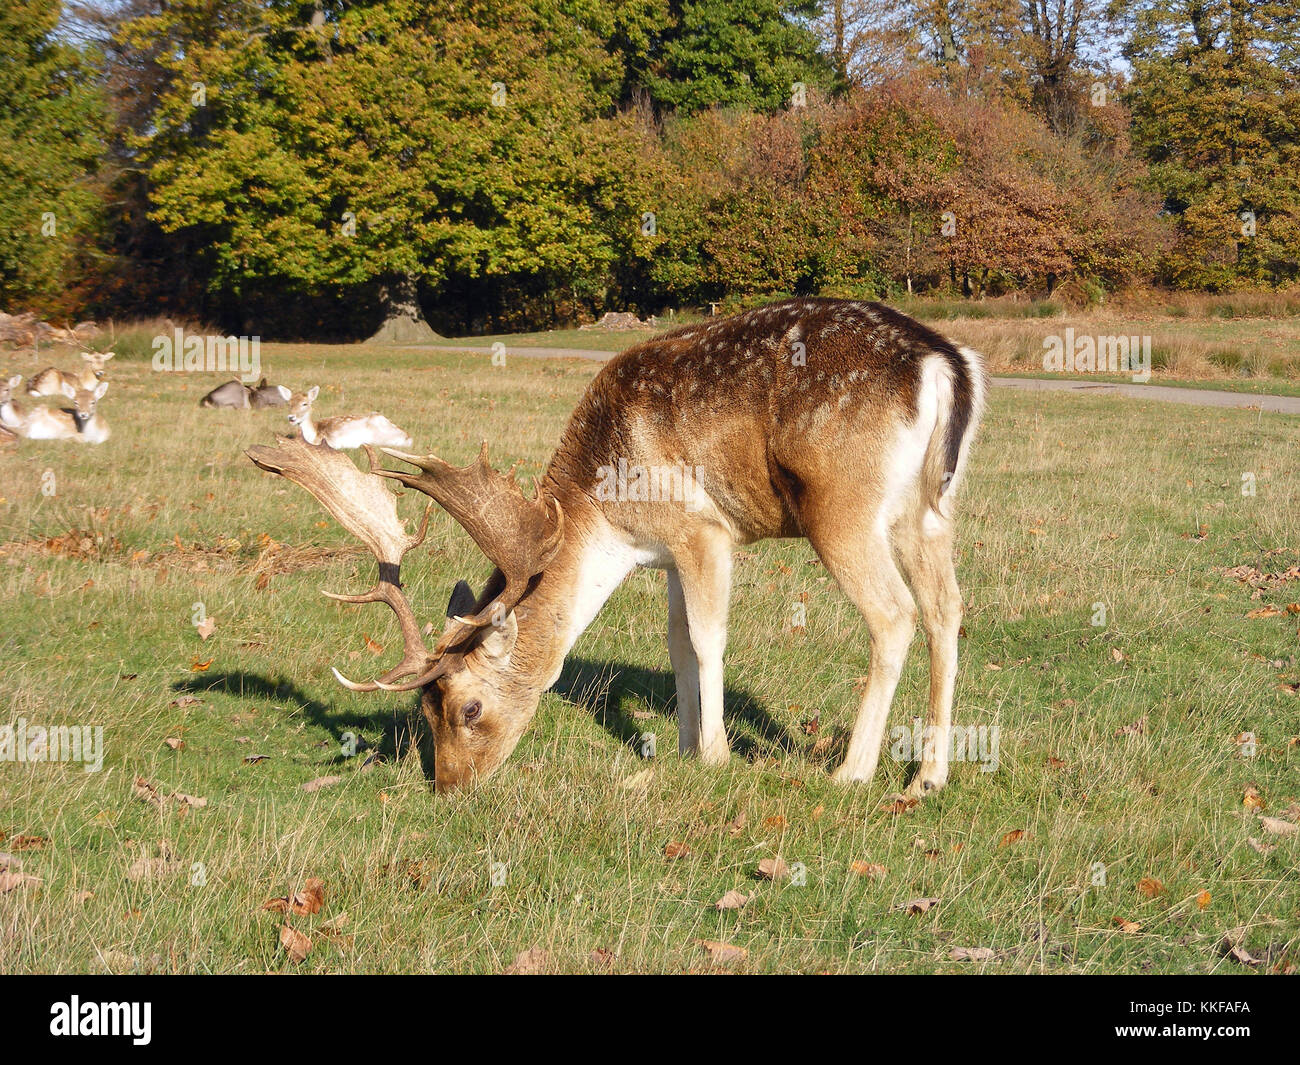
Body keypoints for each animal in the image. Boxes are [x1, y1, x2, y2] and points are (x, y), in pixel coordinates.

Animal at [248, 295, 982, 795]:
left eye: (468, 706)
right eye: (422, 710)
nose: (449, 787)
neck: (605, 516)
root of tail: (946, 364)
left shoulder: (702, 528)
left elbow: (708, 638)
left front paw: (715, 754)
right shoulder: (664, 555)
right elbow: (677, 642)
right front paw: (683, 746)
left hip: (843, 506)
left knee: (894, 614)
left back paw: (852, 771)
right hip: (929, 509)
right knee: (947, 609)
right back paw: (929, 776)